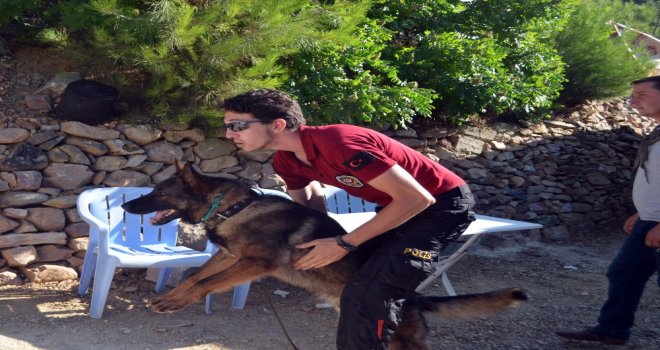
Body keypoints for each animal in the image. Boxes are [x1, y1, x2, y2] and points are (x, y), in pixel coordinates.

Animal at [121, 163, 528, 348]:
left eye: (158, 193)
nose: (125, 204)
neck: (232, 208)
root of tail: (412, 297)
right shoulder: (228, 256)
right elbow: (195, 277)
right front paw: (170, 299)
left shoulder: (251, 264)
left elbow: (206, 284)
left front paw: (176, 302)